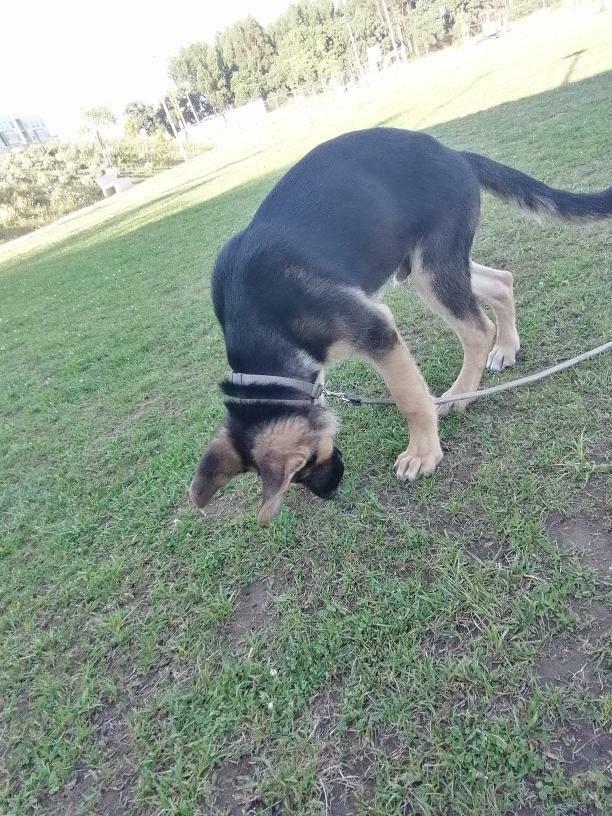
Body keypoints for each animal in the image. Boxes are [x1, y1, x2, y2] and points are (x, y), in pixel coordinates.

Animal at [189, 127, 608, 524]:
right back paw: (506, 348)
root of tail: (452, 154)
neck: (262, 331)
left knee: (477, 330)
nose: (330, 494)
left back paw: (463, 391)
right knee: (501, 282)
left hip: (432, 269)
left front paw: (423, 453)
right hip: (434, 266)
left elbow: (410, 399)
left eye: (301, 469)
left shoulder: (377, 329)